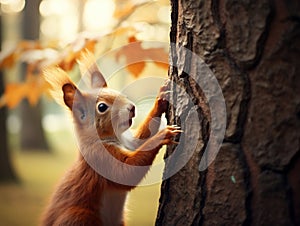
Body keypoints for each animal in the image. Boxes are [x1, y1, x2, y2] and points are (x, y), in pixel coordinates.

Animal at [39, 51, 180, 226]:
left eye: (120, 94)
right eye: (102, 107)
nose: (132, 108)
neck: (114, 138)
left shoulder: (130, 142)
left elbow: (141, 138)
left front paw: (160, 99)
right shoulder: (99, 158)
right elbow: (126, 172)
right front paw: (163, 135)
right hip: (78, 217)